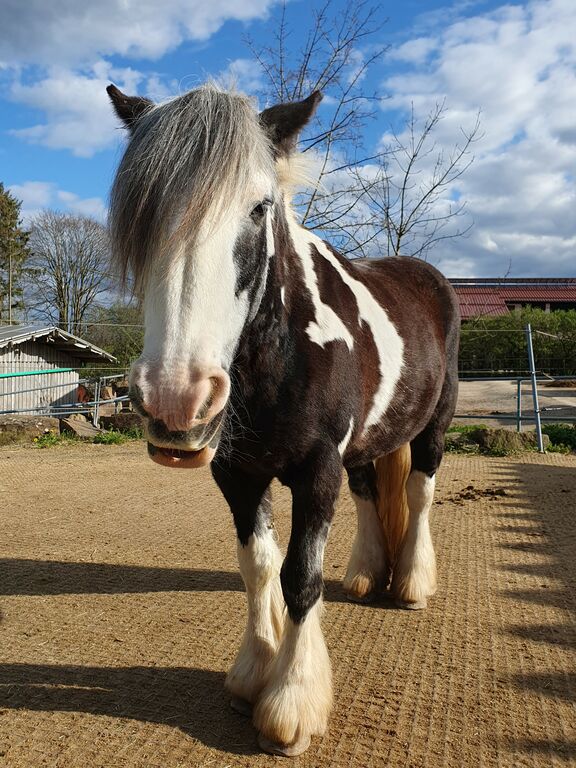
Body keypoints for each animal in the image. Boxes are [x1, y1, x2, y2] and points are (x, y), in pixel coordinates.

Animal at [107, 82, 460, 757]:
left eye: (258, 208)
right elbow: (258, 567)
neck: (283, 349)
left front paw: (291, 703)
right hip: (364, 446)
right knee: (371, 492)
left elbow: (299, 576)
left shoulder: (316, 469)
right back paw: (366, 575)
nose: (175, 398)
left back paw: (410, 583)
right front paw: (253, 672)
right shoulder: (237, 474)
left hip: (434, 426)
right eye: (143, 213)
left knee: (420, 494)